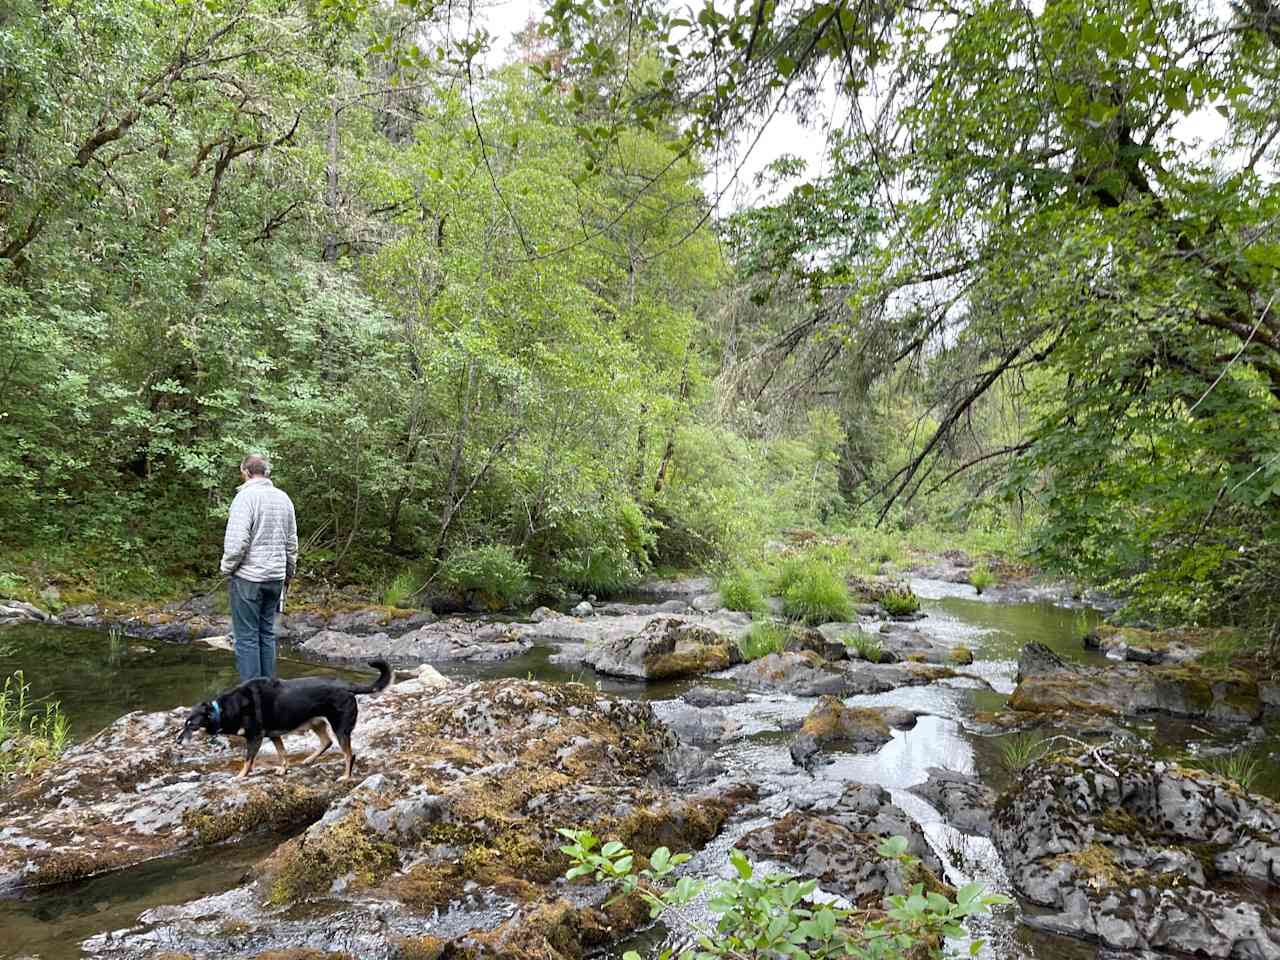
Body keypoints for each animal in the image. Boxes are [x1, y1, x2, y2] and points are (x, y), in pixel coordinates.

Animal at [176, 660, 389, 783]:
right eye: (184, 724)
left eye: (191, 726)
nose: (177, 741)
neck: (223, 710)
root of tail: (347, 686)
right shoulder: (274, 735)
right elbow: (282, 753)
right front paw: (284, 768)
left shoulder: (255, 737)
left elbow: (247, 759)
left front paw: (240, 776)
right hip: (315, 722)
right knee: (326, 741)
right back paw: (310, 759)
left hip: (340, 728)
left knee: (349, 754)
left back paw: (346, 776)